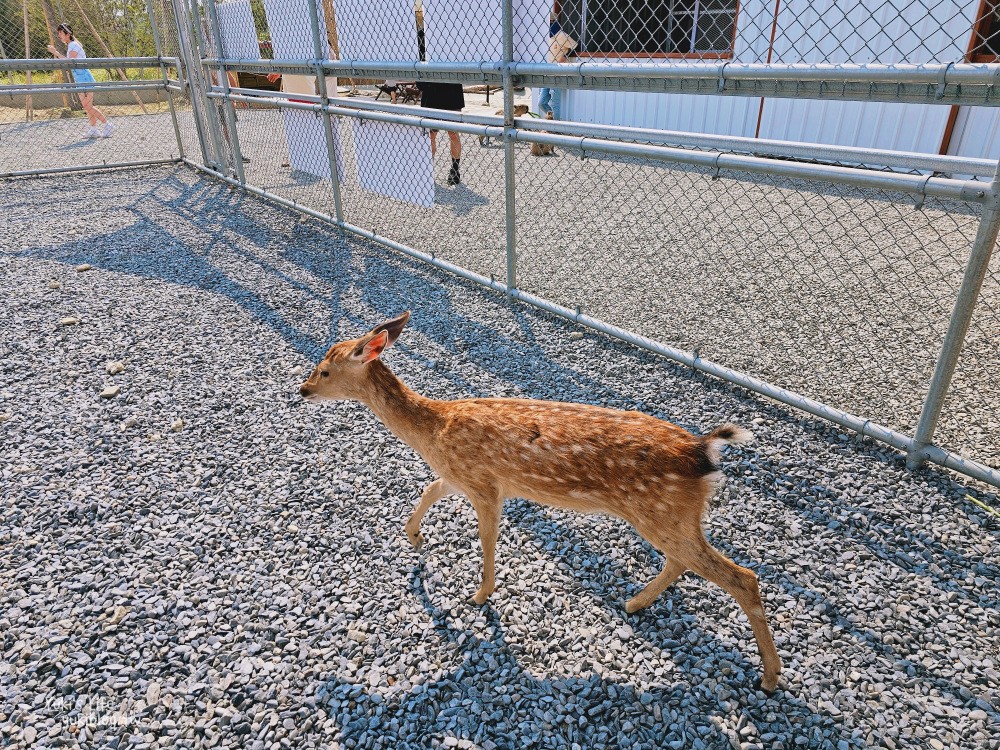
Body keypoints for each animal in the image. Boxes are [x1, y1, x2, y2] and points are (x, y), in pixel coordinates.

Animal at [300, 312, 784, 692]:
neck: (435, 430)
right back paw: (634, 604)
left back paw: (769, 677)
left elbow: (487, 538)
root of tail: (704, 452)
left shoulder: (485, 484)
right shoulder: (460, 476)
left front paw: (480, 595)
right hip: (672, 515)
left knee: (742, 577)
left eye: (325, 370)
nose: (302, 389)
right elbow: (429, 489)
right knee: (685, 562)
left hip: (661, 511)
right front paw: (415, 538)